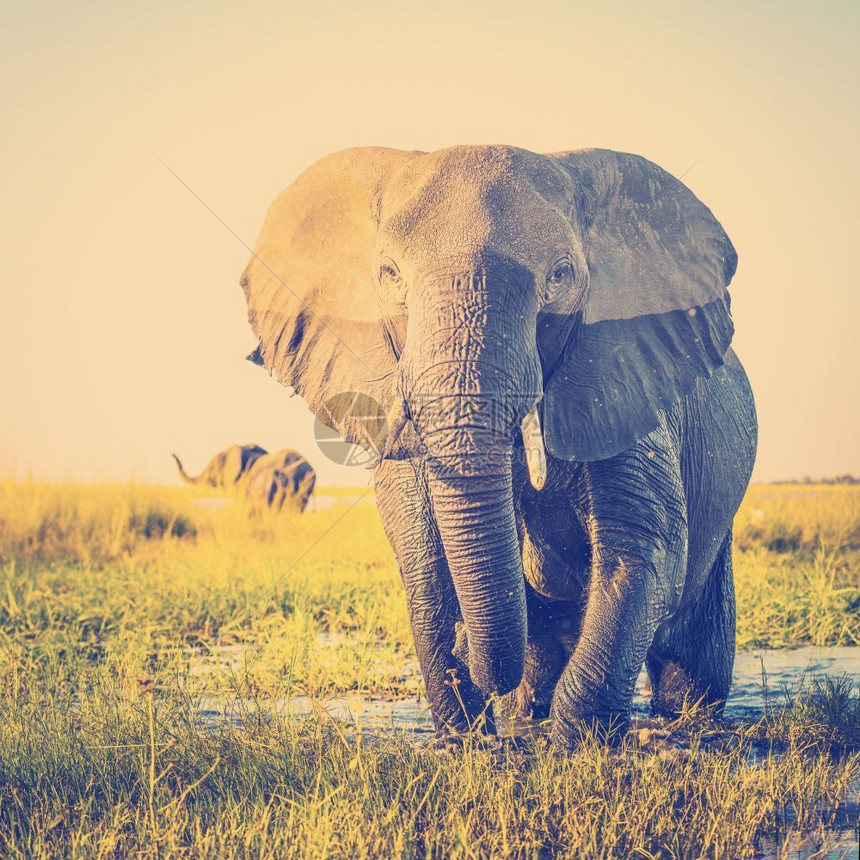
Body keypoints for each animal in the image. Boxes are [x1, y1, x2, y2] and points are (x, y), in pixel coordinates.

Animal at [239, 144, 756, 748]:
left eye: (560, 275)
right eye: (389, 275)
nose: (470, 653)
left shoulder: (622, 373)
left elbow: (642, 547)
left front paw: (574, 747)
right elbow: (422, 556)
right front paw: (467, 742)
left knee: (689, 642)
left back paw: (684, 721)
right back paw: (523, 713)